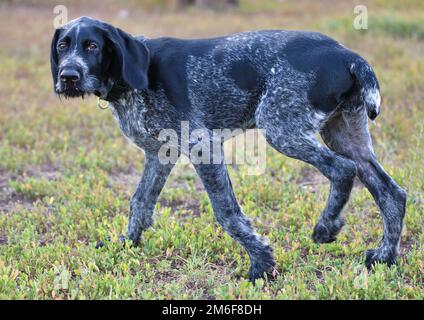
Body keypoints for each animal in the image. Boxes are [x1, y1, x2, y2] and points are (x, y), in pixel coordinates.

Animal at [50, 16, 408, 282]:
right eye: (62, 46)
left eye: (92, 46)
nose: (68, 77)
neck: (132, 79)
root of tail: (349, 56)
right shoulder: (160, 155)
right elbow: (140, 202)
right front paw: (126, 245)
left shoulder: (203, 147)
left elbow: (226, 213)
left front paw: (262, 264)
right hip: (344, 134)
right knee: (392, 193)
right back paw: (384, 256)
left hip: (281, 128)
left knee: (342, 170)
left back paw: (326, 228)